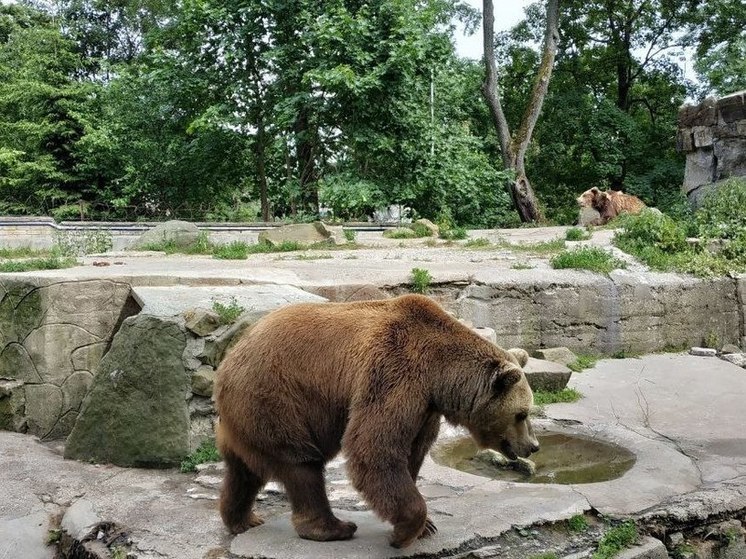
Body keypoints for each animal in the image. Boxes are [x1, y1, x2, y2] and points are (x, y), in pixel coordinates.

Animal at [214, 296, 536, 548]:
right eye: (522, 413)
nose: (533, 445)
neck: (439, 374)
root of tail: (229, 359)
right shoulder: (396, 371)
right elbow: (373, 447)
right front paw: (406, 532)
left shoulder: (425, 408)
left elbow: (412, 453)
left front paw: (426, 526)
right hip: (276, 398)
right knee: (301, 465)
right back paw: (332, 527)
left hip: (245, 417)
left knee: (244, 471)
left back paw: (243, 519)